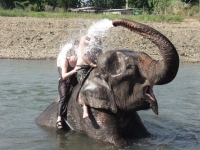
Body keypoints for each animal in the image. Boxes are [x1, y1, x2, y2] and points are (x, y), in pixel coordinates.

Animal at [35, 18, 179, 148]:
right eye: (130, 67)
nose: (114, 22)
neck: (93, 75)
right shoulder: (93, 114)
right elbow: (115, 141)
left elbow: (147, 135)